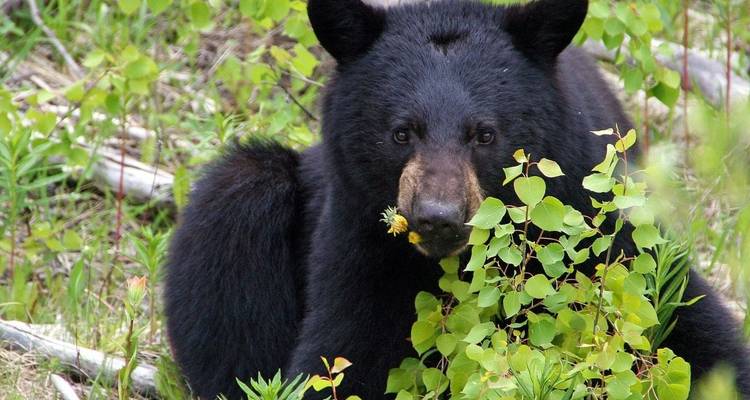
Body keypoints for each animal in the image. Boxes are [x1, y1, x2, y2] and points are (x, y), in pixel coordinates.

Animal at [163, 0, 750, 399]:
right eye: (401, 132)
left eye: (484, 133)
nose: (437, 217)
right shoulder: (359, 239)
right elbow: (342, 354)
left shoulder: (599, 220)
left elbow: (693, 333)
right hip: (249, 196)